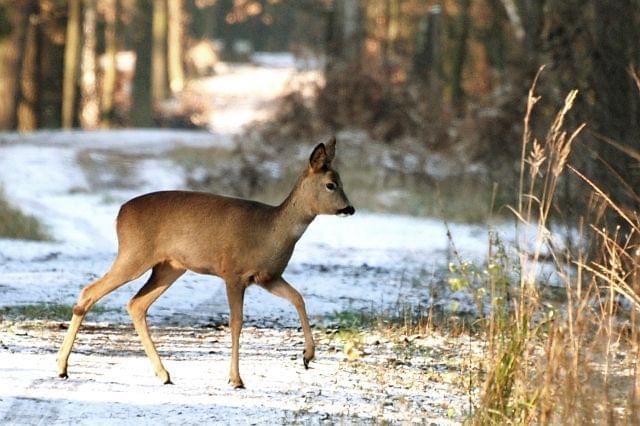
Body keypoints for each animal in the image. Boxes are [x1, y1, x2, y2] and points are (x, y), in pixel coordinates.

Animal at [55, 137, 356, 390]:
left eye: (341, 180)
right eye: (331, 184)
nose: (350, 208)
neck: (271, 231)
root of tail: (120, 213)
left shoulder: (268, 277)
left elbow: (298, 298)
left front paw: (307, 356)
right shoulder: (233, 272)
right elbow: (237, 321)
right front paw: (236, 379)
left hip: (168, 267)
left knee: (136, 303)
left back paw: (163, 374)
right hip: (133, 254)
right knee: (90, 292)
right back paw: (61, 367)